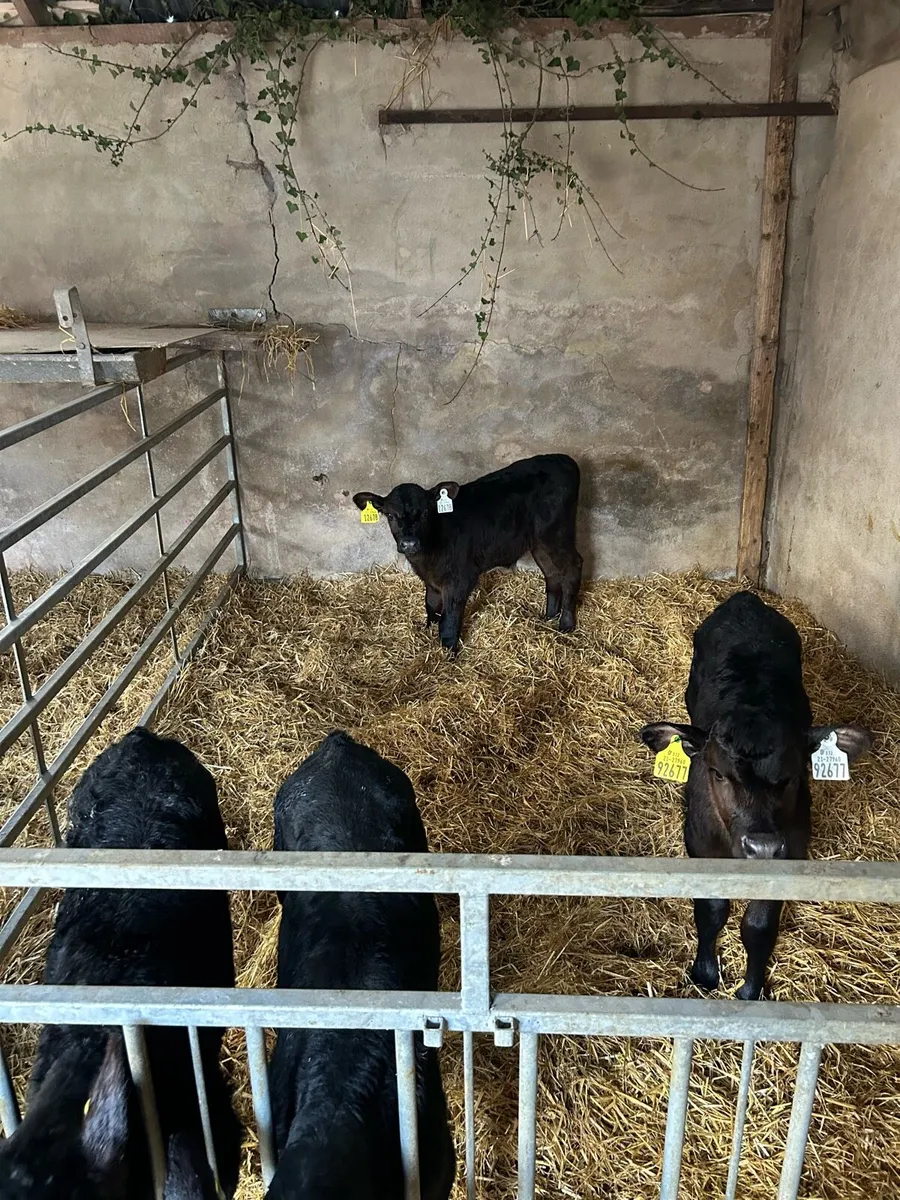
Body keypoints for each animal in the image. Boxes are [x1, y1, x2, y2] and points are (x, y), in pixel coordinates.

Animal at [353, 453, 583, 653]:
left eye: (426, 512)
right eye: (390, 515)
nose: (409, 543)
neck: (428, 556)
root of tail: (561, 458)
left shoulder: (460, 579)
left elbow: (448, 620)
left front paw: (448, 654)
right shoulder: (432, 580)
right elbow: (431, 606)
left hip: (557, 534)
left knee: (573, 566)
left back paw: (566, 624)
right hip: (539, 542)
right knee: (552, 573)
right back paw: (548, 617)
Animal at [640, 591, 872, 1001]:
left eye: (794, 776)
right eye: (717, 773)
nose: (761, 846)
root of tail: (745, 598)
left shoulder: (789, 853)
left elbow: (759, 925)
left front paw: (750, 989)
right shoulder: (700, 846)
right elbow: (712, 910)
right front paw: (705, 973)